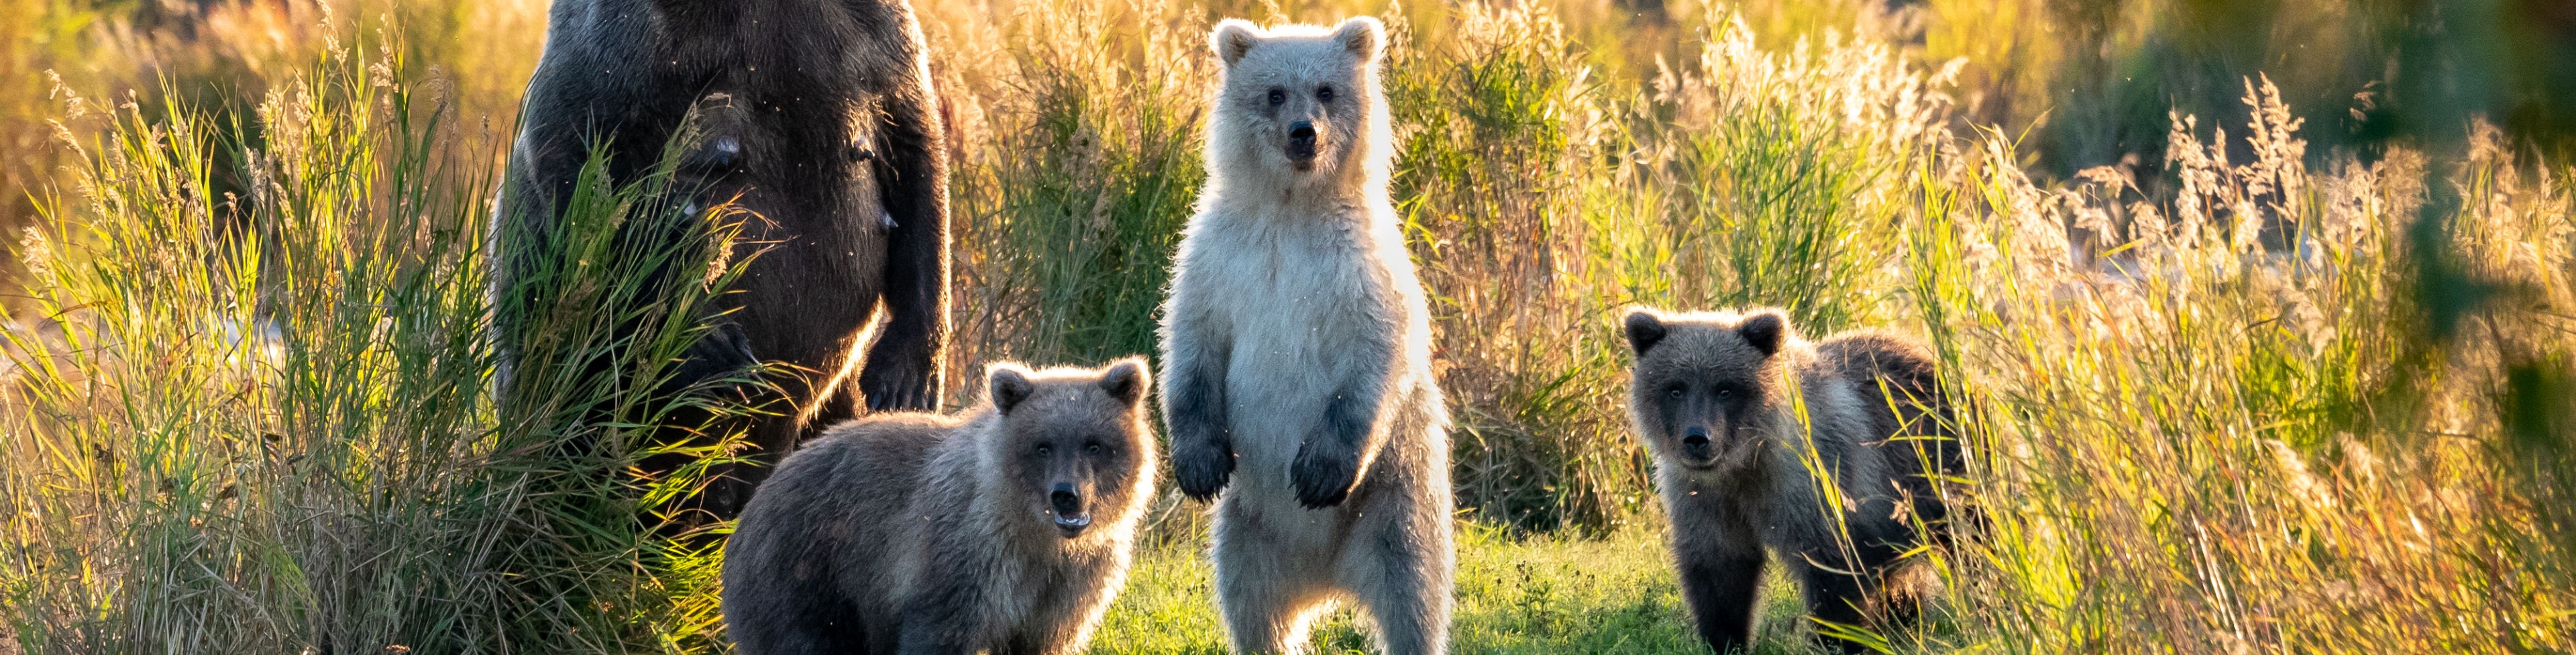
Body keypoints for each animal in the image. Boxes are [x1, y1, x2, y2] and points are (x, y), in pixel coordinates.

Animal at [492, 0, 952, 523]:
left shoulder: (866, 38)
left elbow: (916, 149)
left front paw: (905, 379)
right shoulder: (627, 46)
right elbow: (585, 157)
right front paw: (712, 344)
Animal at [719, 358, 1158, 655]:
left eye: (1094, 444)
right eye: (1043, 446)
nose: (1067, 493)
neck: (1038, 537)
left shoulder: (1068, 587)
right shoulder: (967, 561)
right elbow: (939, 631)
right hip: (806, 572)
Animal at [1157, 17, 1456, 655]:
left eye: (1325, 90)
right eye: (1274, 93)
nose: (1304, 134)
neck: (1293, 209)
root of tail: (1326, 579)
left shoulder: (1362, 267)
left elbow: (1378, 351)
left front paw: (1318, 471)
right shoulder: (1220, 258)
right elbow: (1192, 343)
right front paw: (1198, 463)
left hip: (1395, 497)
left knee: (1412, 591)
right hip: (1250, 531)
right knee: (1253, 607)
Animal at [1622, 307, 1962, 654]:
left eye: (1725, 388)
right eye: (1675, 388)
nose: (1697, 438)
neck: (1745, 463)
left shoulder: (1814, 483)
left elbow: (1833, 573)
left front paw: (1836, 641)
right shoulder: (1703, 496)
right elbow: (1720, 570)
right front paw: (1725, 640)